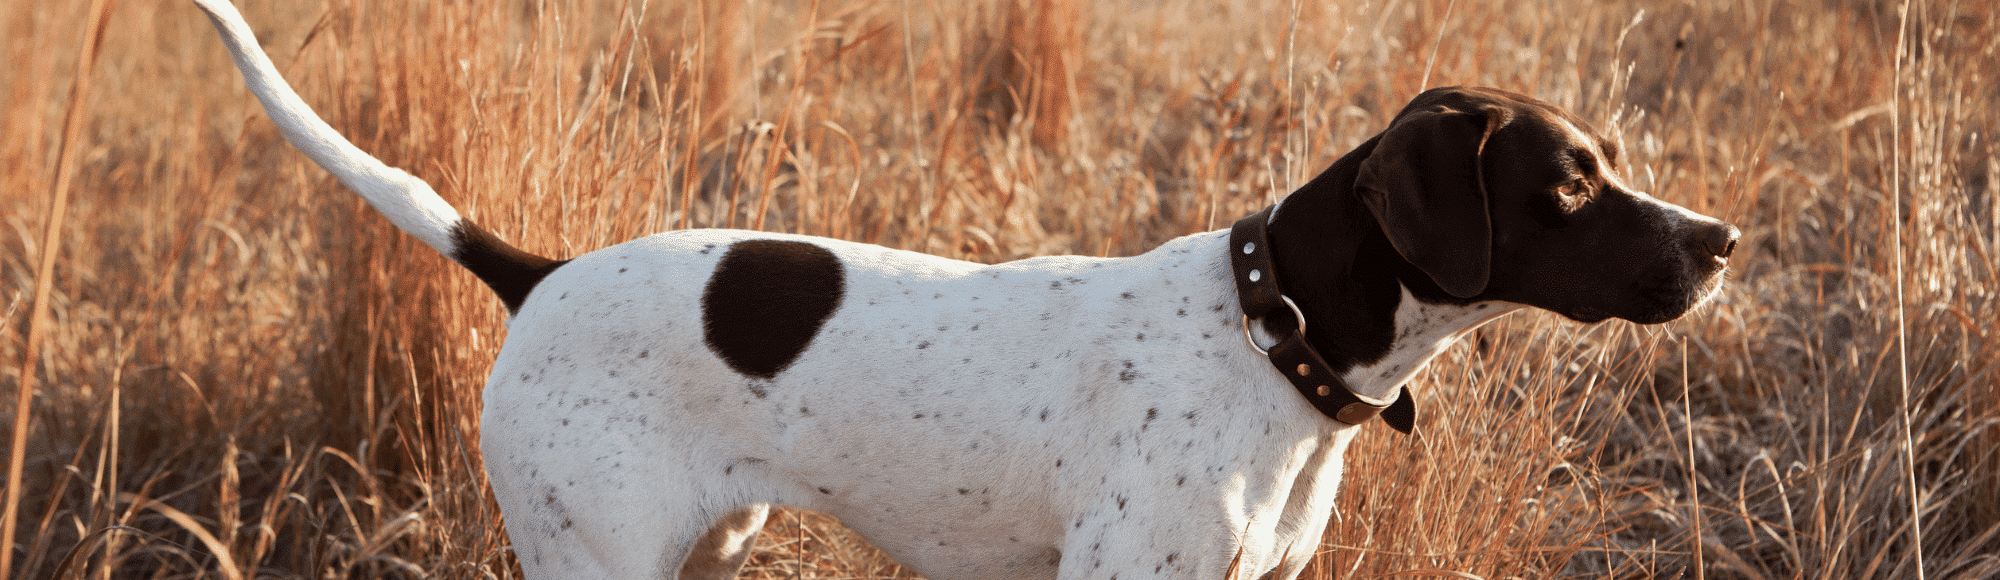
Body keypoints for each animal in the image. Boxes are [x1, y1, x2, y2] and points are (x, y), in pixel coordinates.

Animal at [195, 1, 1744, 580]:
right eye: (1569, 189)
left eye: (1605, 170)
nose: (1721, 240)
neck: (1272, 339)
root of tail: (544, 277)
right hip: (602, 556)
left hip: (707, 549)